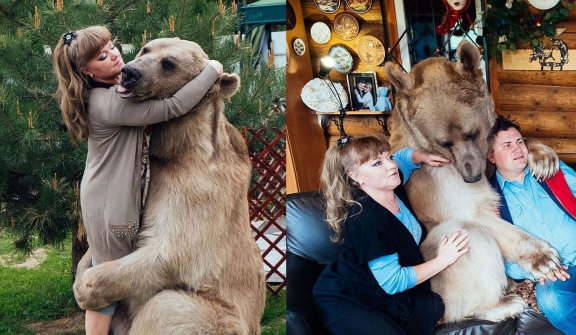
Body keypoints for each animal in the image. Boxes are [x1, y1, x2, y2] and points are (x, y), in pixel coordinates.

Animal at [71, 38, 266, 334]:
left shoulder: (200, 190)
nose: (129, 72)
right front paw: (83, 270)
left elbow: (172, 251)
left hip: (216, 316)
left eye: (169, 63)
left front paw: (86, 286)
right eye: (146, 49)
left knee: (165, 306)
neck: (177, 149)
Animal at [382, 40, 564, 324]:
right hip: (437, 273)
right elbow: (475, 214)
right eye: (444, 142)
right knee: (469, 238)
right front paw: (544, 258)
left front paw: (543, 158)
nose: (471, 176)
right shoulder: (437, 179)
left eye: (472, 133)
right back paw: (505, 303)